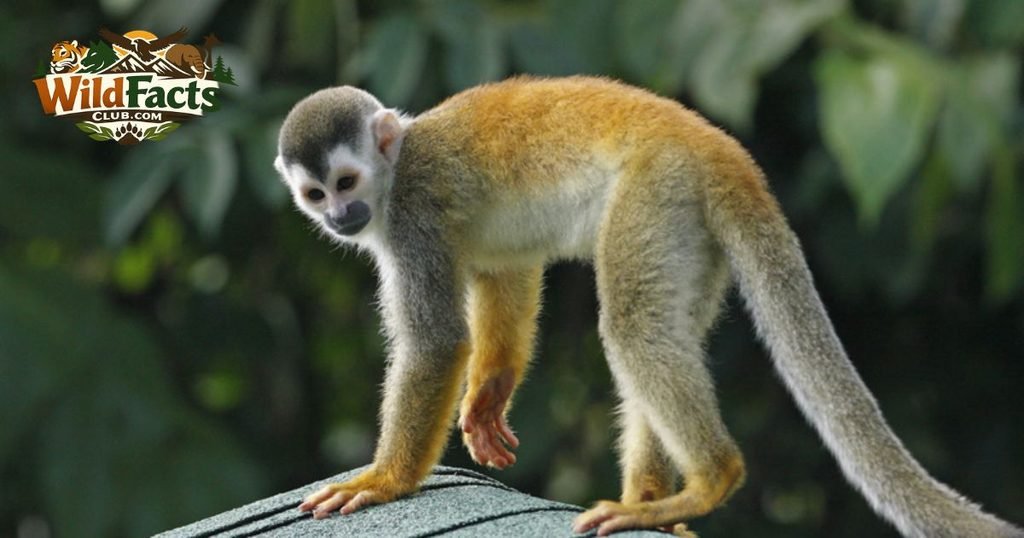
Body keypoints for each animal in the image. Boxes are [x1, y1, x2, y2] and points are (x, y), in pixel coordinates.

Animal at [274, 76, 1023, 537]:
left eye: (347, 182)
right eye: (315, 194)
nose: (341, 217)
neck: (395, 169)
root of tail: (717, 145)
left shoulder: (412, 219)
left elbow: (434, 342)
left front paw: (386, 481)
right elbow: (507, 272)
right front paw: (488, 399)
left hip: (655, 189)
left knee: (633, 327)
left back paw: (709, 480)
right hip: (690, 226)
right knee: (662, 325)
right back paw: (652, 503)